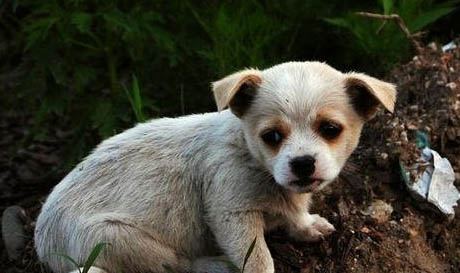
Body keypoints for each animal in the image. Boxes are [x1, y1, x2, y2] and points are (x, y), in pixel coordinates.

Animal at [35, 61, 396, 272]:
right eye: (272, 136)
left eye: (330, 129)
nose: (303, 163)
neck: (252, 159)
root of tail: (43, 245)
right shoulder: (232, 216)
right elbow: (259, 261)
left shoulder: (288, 196)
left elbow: (296, 213)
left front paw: (307, 227)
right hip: (113, 237)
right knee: (174, 264)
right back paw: (215, 264)